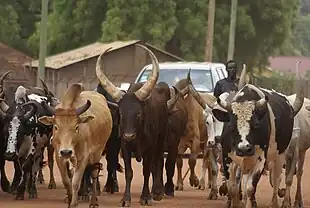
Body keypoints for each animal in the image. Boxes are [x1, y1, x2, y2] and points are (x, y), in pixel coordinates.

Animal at [95, 44, 180, 206]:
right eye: (121, 113)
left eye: (139, 113)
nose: (129, 135)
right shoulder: (125, 147)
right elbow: (129, 172)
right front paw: (125, 199)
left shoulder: (150, 148)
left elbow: (147, 170)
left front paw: (146, 197)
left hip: (161, 140)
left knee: (158, 162)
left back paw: (157, 192)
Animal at [209, 64, 304, 206]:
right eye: (231, 124)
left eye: (256, 123)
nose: (244, 149)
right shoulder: (227, 158)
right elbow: (233, 188)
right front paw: (235, 203)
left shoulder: (260, 160)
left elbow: (250, 188)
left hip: (280, 155)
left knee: (277, 180)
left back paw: (274, 203)